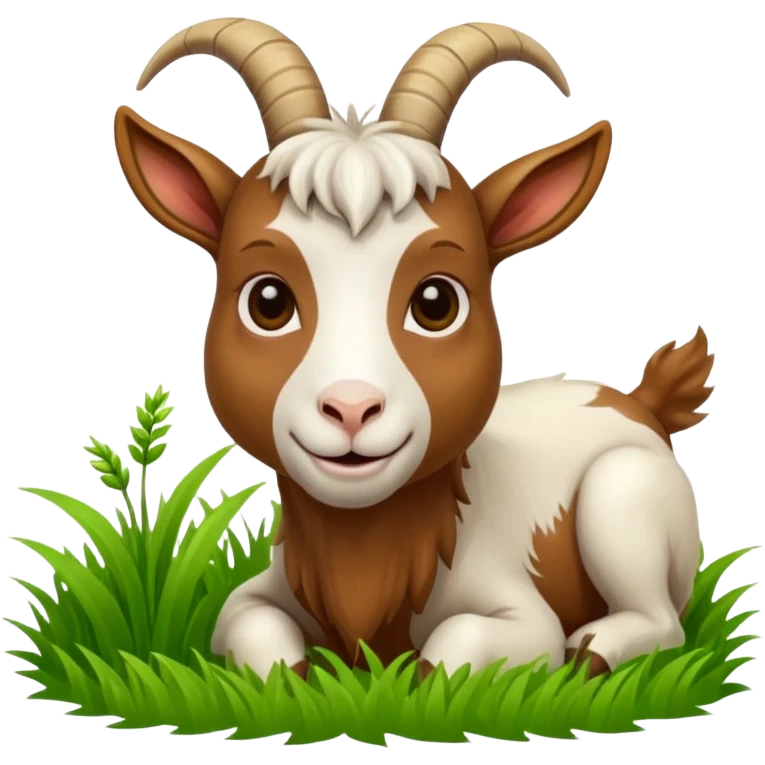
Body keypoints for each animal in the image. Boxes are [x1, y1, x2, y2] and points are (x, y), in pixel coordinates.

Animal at [113, 18, 713, 682]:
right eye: (268, 300)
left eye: (436, 302)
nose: (351, 409)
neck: (371, 552)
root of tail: (642, 403)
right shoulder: (258, 594)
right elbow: (250, 629)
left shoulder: (524, 619)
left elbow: (461, 648)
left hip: (624, 501)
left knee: (661, 619)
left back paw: (598, 647)